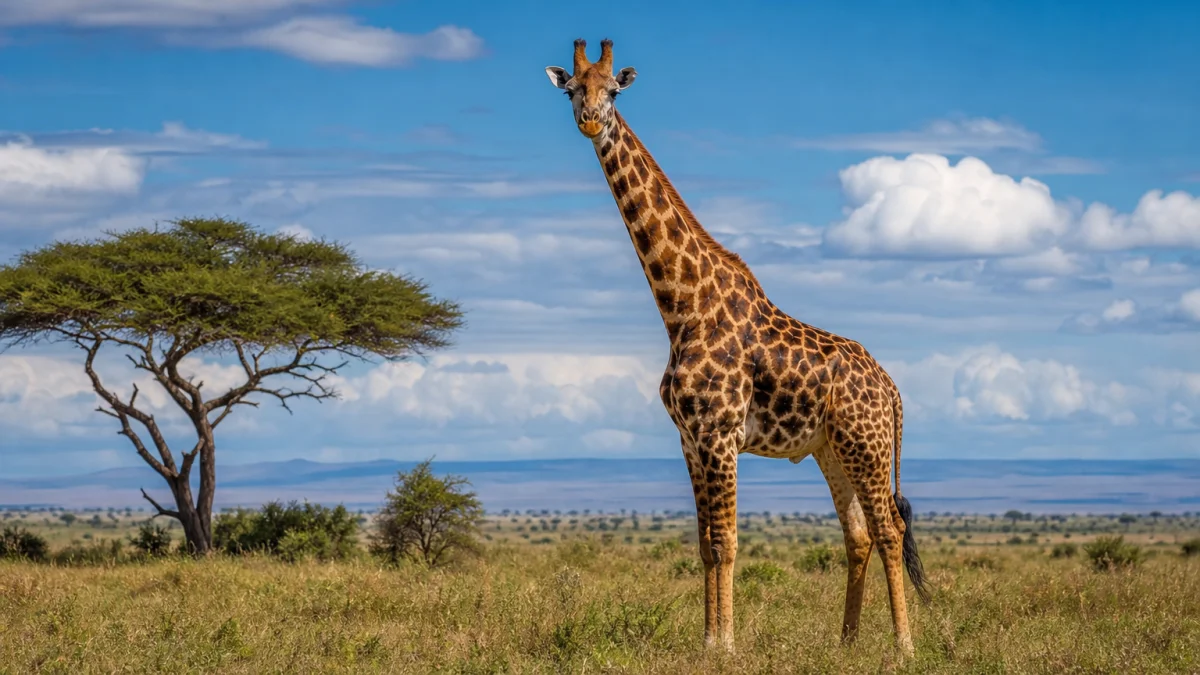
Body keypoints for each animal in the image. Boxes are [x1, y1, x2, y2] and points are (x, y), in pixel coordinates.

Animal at [545, 39, 931, 655]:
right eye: (573, 90)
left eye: (614, 91)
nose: (590, 120)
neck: (681, 309)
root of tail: (893, 391)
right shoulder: (689, 439)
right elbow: (706, 544)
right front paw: (708, 641)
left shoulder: (720, 434)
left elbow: (726, 542)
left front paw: (724, 645)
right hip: (832, 450)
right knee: (858, 534)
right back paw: (846, 643)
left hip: (867, 447)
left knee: (889, 529)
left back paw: (902, 647)